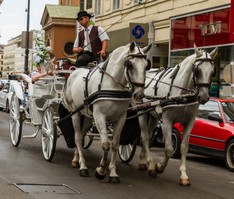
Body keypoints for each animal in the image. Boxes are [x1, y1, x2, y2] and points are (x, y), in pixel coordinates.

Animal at [62, 41, 152, 183]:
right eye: (130, 65)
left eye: (146, 65)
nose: (138, 94)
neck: (113, 85)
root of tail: (73, 73)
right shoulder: (99, 116)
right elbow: (105, 144)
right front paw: (101, 170)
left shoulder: (120, 118)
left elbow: (114, 144)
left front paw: (113, 173)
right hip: (75, 112)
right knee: (77, 137)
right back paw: (83, 166)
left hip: (88, 116)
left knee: (82, 135)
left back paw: (76, 159)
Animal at [137, 44, 218, 186]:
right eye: (197, 70)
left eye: (213, 71)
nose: (203, 97)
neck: (182, 94)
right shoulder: (166, 121)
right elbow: (169, 149)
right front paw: (159, 167)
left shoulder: (190, 122)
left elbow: (184, 148)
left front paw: (184, 175)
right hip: (142, 113)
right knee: (145, 137)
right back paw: (151, 166)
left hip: (153, 116)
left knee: (147, 134)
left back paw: (143, 161)